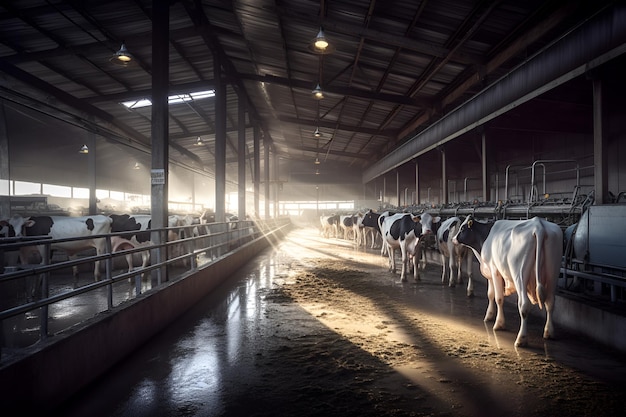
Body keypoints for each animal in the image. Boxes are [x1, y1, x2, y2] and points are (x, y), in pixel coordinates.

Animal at [448, 214, 560, 348]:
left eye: (463, 228)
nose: (453, 239)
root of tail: (539, 225)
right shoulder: (491, 273)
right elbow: (490, 294)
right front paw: (489, 316)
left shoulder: (494, 270)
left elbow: (498, 298)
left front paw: (499, 324)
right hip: (553, 273)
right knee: (550, 303)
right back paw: (549, 332)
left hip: (520, 275)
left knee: (524, 305)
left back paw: (521, 339)